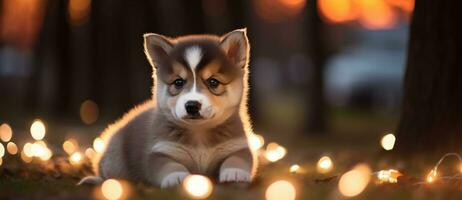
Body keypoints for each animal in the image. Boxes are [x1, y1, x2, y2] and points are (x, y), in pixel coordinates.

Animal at [81, 28, 258, 188]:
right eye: (178, 82)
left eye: (213, 82)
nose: (192, 105)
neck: (199, 134)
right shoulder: (160, 150)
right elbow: (169, 165)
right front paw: (176, 177)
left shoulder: (236, 146)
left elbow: (238, 158)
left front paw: (235, 172)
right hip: (115, 158)